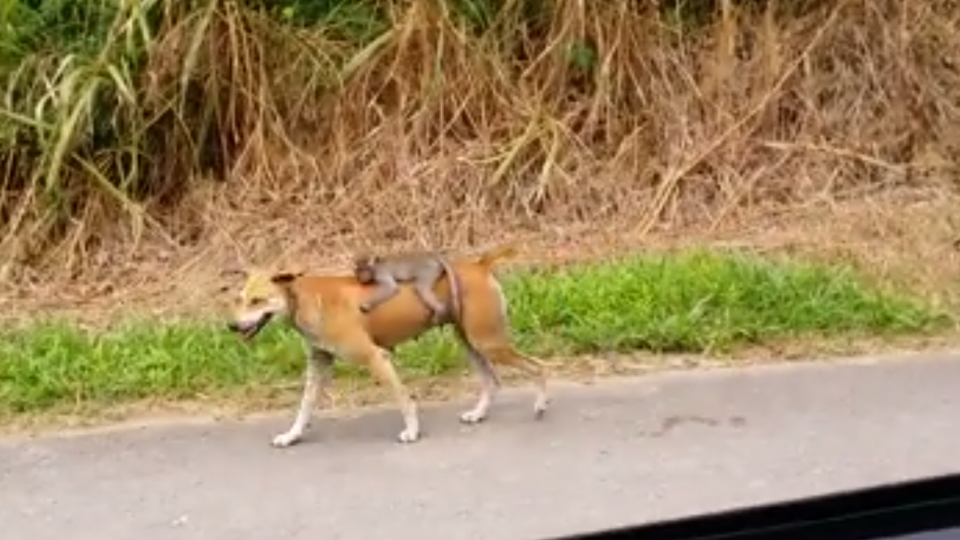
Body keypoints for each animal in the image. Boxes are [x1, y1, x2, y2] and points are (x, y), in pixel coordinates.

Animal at [226, 245, 552, 448]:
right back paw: (479, 413)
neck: (305, 297)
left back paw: (540, 405)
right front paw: (291, 436)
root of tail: (479, 264)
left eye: (258, 300)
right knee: (492, 380)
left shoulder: (376, 358)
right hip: (470, 343)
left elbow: (403, 399)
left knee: (539, 366)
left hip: (489, 343)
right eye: (239, 299)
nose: (231, 326)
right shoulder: (318, 366)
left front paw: (412, 431)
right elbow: (304, 408)